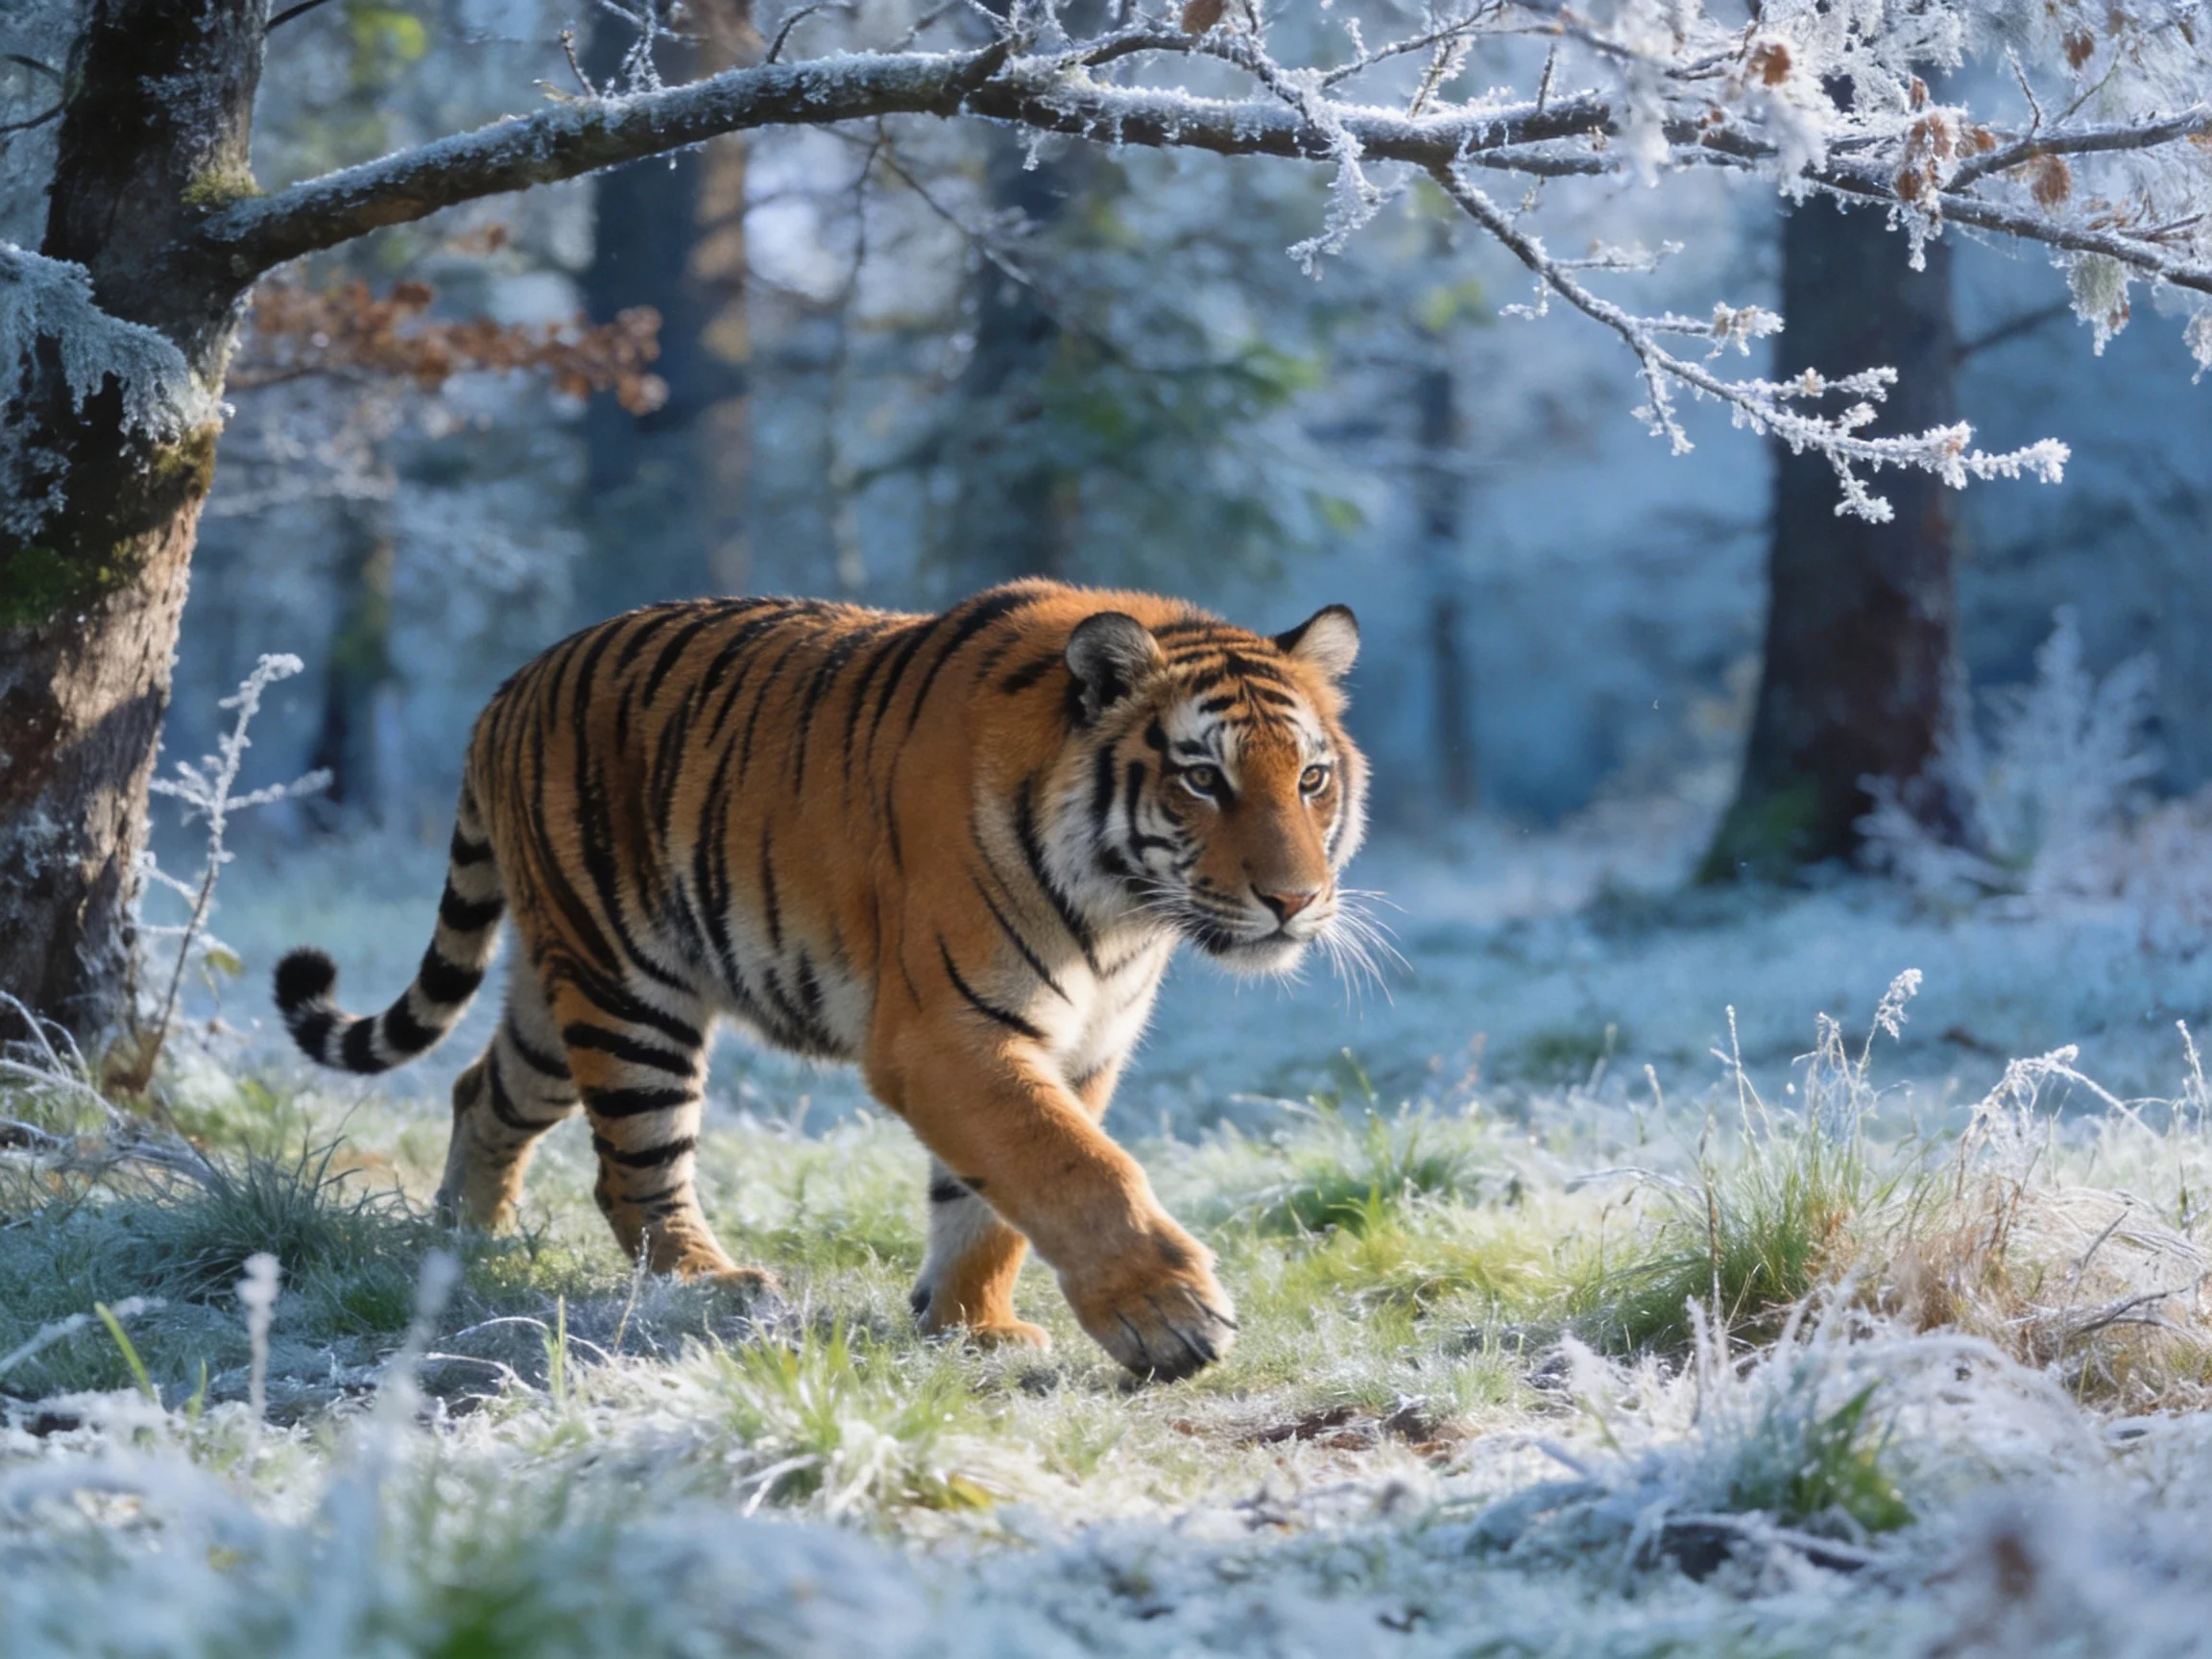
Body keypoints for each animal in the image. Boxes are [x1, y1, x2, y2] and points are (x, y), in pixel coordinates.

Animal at [274, 579, 1367, 1380]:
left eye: (1311, 778)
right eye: (1202, 779)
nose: (1296, 900)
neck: (1123, 915)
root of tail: (509, 687)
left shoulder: (1077, 1048)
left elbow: (992, 1201)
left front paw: (970, 1326)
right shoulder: (944, 1033)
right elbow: (1074, 1168)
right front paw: (1171, 1316)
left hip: (557, 995)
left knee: (481, 1089)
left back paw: (465, 1245)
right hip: (630, 993)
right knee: (634, 1171)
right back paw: (708, 1285)